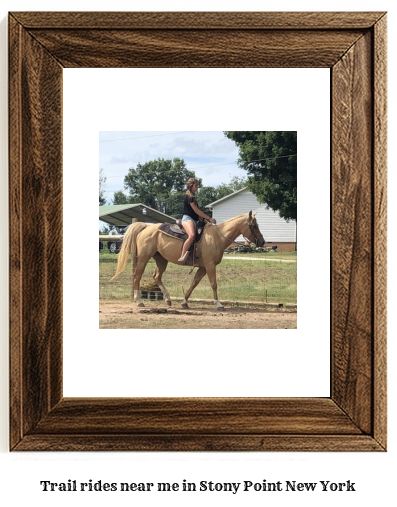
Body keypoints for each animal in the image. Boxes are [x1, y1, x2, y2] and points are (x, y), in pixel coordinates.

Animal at [111, 210, 264, 310]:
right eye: (254, 226)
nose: (262, 242)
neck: (216, 237)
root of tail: (146, 227)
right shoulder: (210, 265)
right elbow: (213, 284)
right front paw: (218, 303)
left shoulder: (203, 267)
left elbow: (194, 283)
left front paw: (184, 302)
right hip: (143, 258)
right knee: (137, 276)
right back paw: (139, 301)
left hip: (161, 260)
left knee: (156, 276)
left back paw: (168, 299)